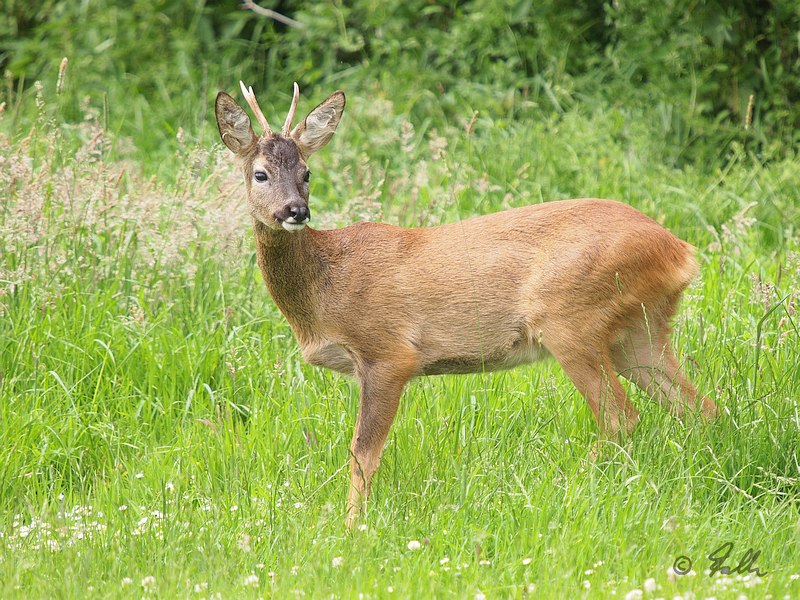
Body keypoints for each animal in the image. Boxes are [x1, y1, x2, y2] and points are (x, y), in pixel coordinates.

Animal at [214, 83, 720, 524]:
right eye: (260, 173)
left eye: (307, 173)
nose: (295, 211)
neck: (324, 289)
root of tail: (680, 251)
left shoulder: (388, 353)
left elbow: (362, 453)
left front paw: (352, 525)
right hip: (638, 332)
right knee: (700, 407)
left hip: (571, 319)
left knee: (620, 417)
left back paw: (566, 487)